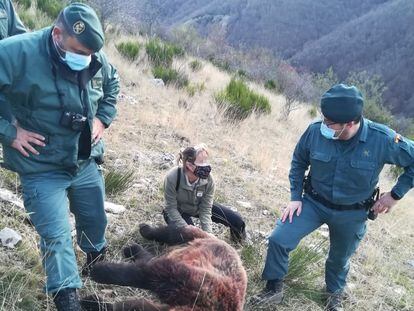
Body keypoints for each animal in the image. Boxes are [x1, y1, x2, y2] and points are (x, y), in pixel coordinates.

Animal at [82, 224, 247, 311]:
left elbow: (136, 305)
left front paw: (94, 301)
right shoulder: (190, 281)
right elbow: (145, 274)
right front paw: (100, 271)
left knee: (152, 258)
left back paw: (133, 249)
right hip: (194, 237)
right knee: (173, 233)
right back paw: (145, 230)